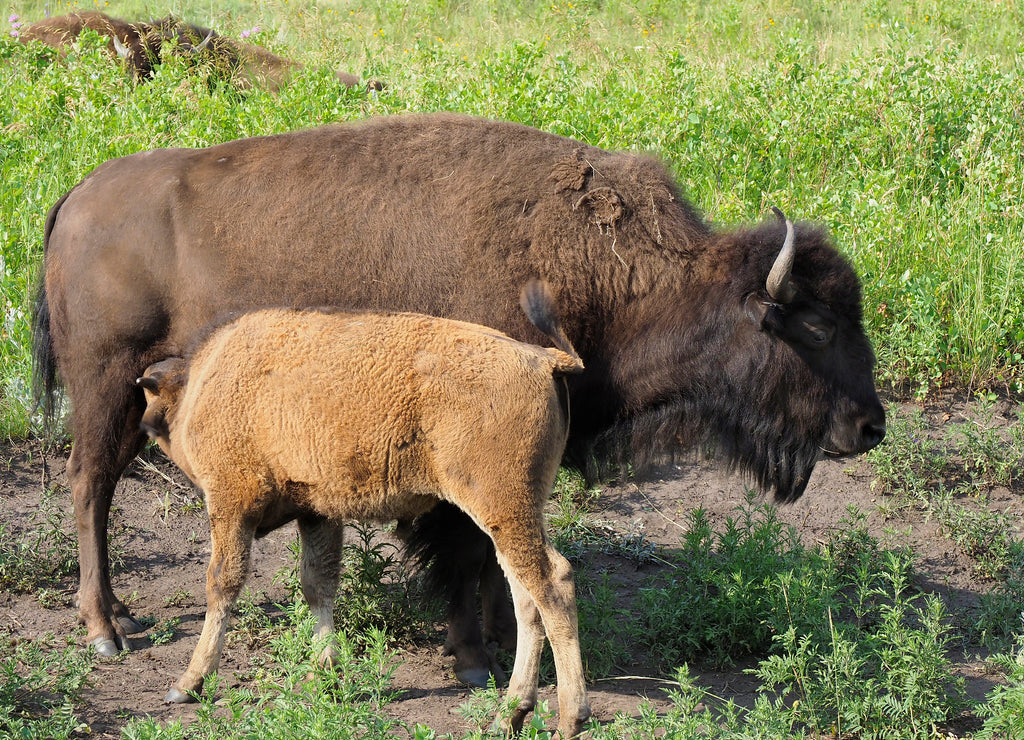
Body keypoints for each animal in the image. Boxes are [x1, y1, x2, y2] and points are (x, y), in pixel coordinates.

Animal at [32, 111, 880, 687]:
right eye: (813, 323)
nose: (870, 426)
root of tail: (78, 195)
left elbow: (499, 553)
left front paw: (504, 639)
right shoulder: (463, 459)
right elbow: (468, 552)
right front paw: (474, 659)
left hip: (136, 394)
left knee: (97, 485)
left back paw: (119, 618)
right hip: (105, 385)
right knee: (89, 485)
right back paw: (105, 630)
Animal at [141, 282, 593, 736]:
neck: (204, 380)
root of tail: (544, 360)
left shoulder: (232, 505)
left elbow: (223, 582)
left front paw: (189, 683)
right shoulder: (317, 513)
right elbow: (317, 584)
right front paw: (325, 676)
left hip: (505, 509)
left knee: (553, 585)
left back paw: (569, 719)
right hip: (511, 517)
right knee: (526, 599)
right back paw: (509, 714)